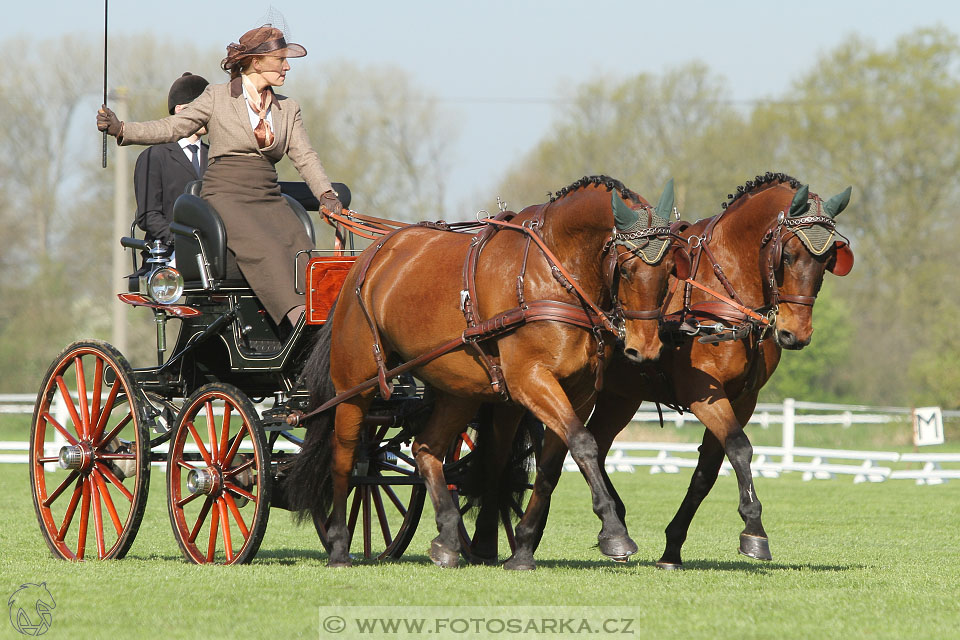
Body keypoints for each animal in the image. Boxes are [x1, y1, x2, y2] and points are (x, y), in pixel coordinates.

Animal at [286, 174, 688, 564]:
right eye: (627, 268)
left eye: (671, 270)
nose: (645, 348)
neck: (552, 272)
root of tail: (368, 258)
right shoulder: (530, 379)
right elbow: (585, 444)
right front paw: (615, 533)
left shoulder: (580, 392)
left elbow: (552, 464)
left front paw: (523, 548)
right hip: (355, 384)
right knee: (344, 458)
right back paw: (340, 546)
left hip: (456, 392)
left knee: (426, 449)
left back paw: (447, 539)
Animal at [506, 171, 852, 568]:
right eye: (790, 254)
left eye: (827, 260)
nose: (796, 334)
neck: (721, 292)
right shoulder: (702, 394)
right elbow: (739, 447)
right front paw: (754, 531)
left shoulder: (743, 399)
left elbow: (708, 470)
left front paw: (673, 546)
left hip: (619, 397)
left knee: (596, 445)